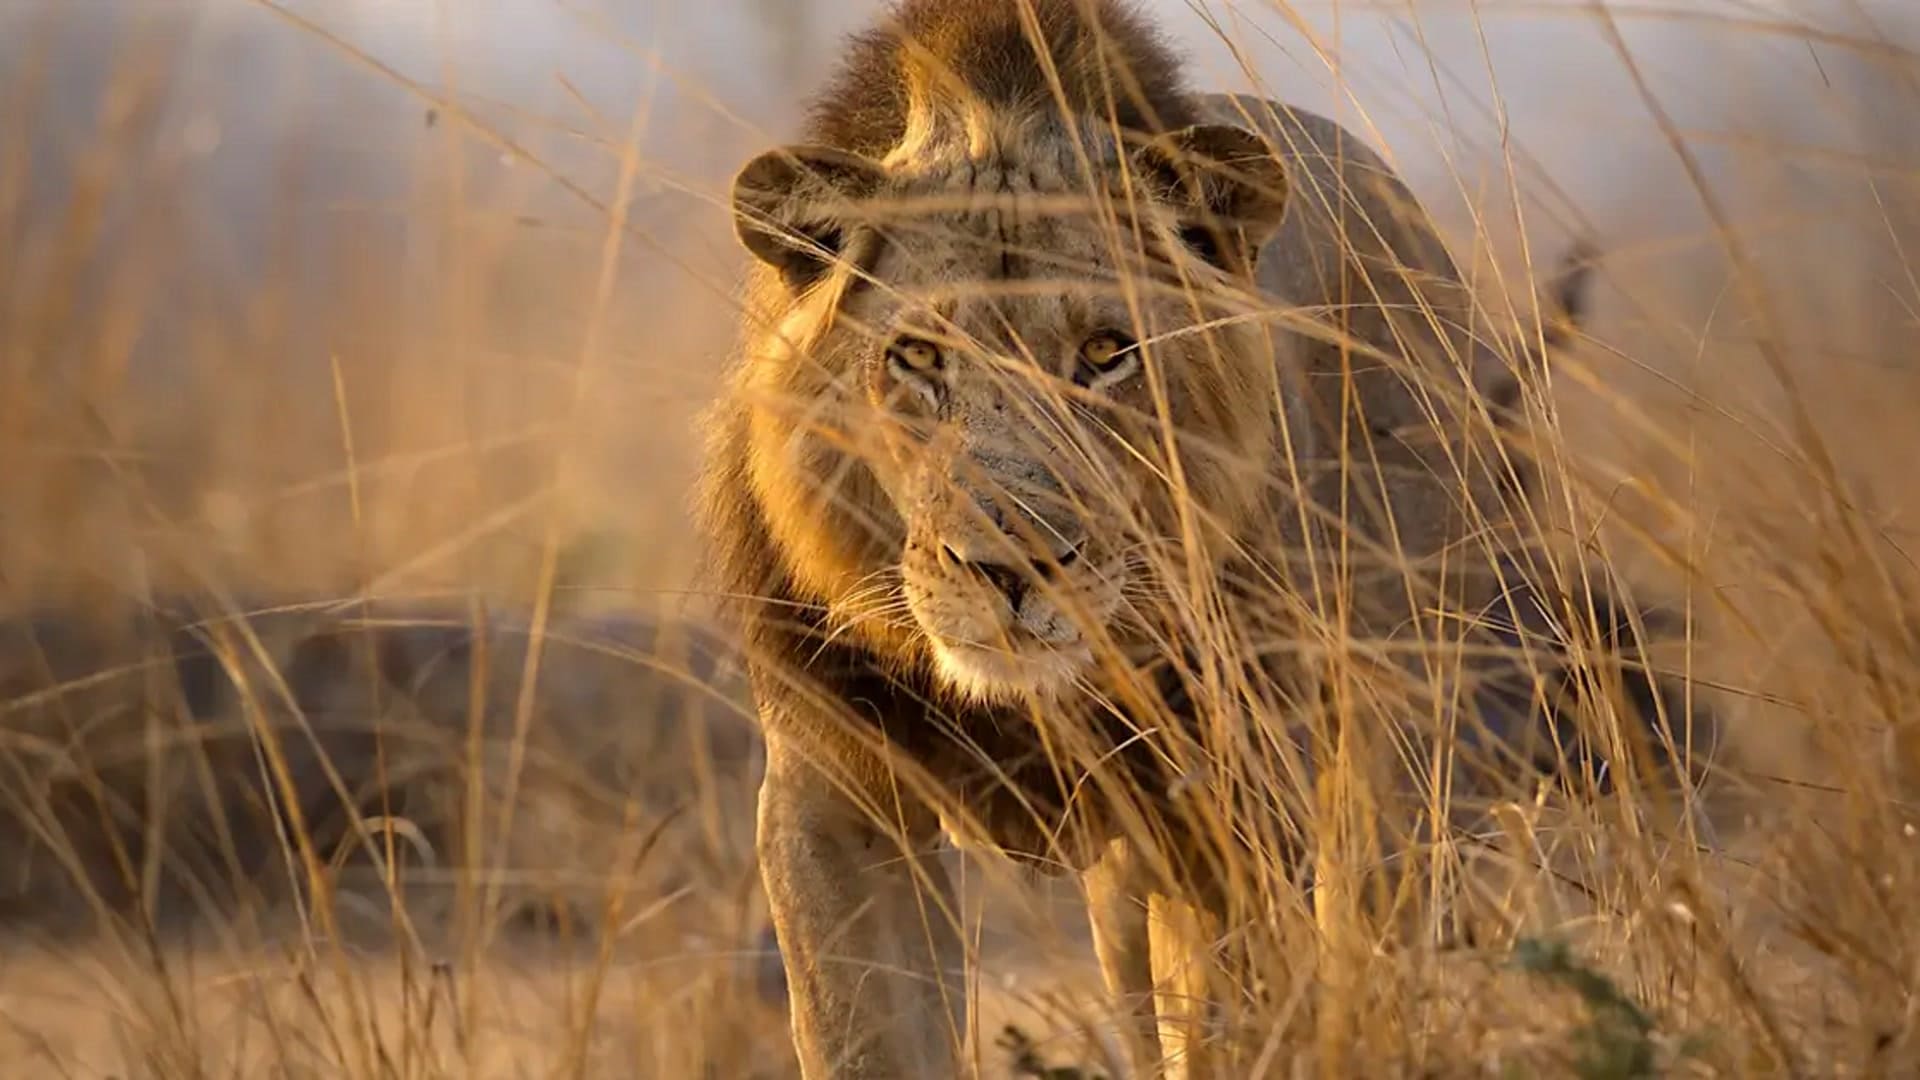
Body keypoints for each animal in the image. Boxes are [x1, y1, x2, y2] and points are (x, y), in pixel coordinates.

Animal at [699, 1, 1707, 1076]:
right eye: (919, 358)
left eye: (1106, 353)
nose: (1014, 568)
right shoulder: (834, 796)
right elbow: (866, 1036)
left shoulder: (1229, 802)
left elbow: (1228, 1021)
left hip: (1392, 742)